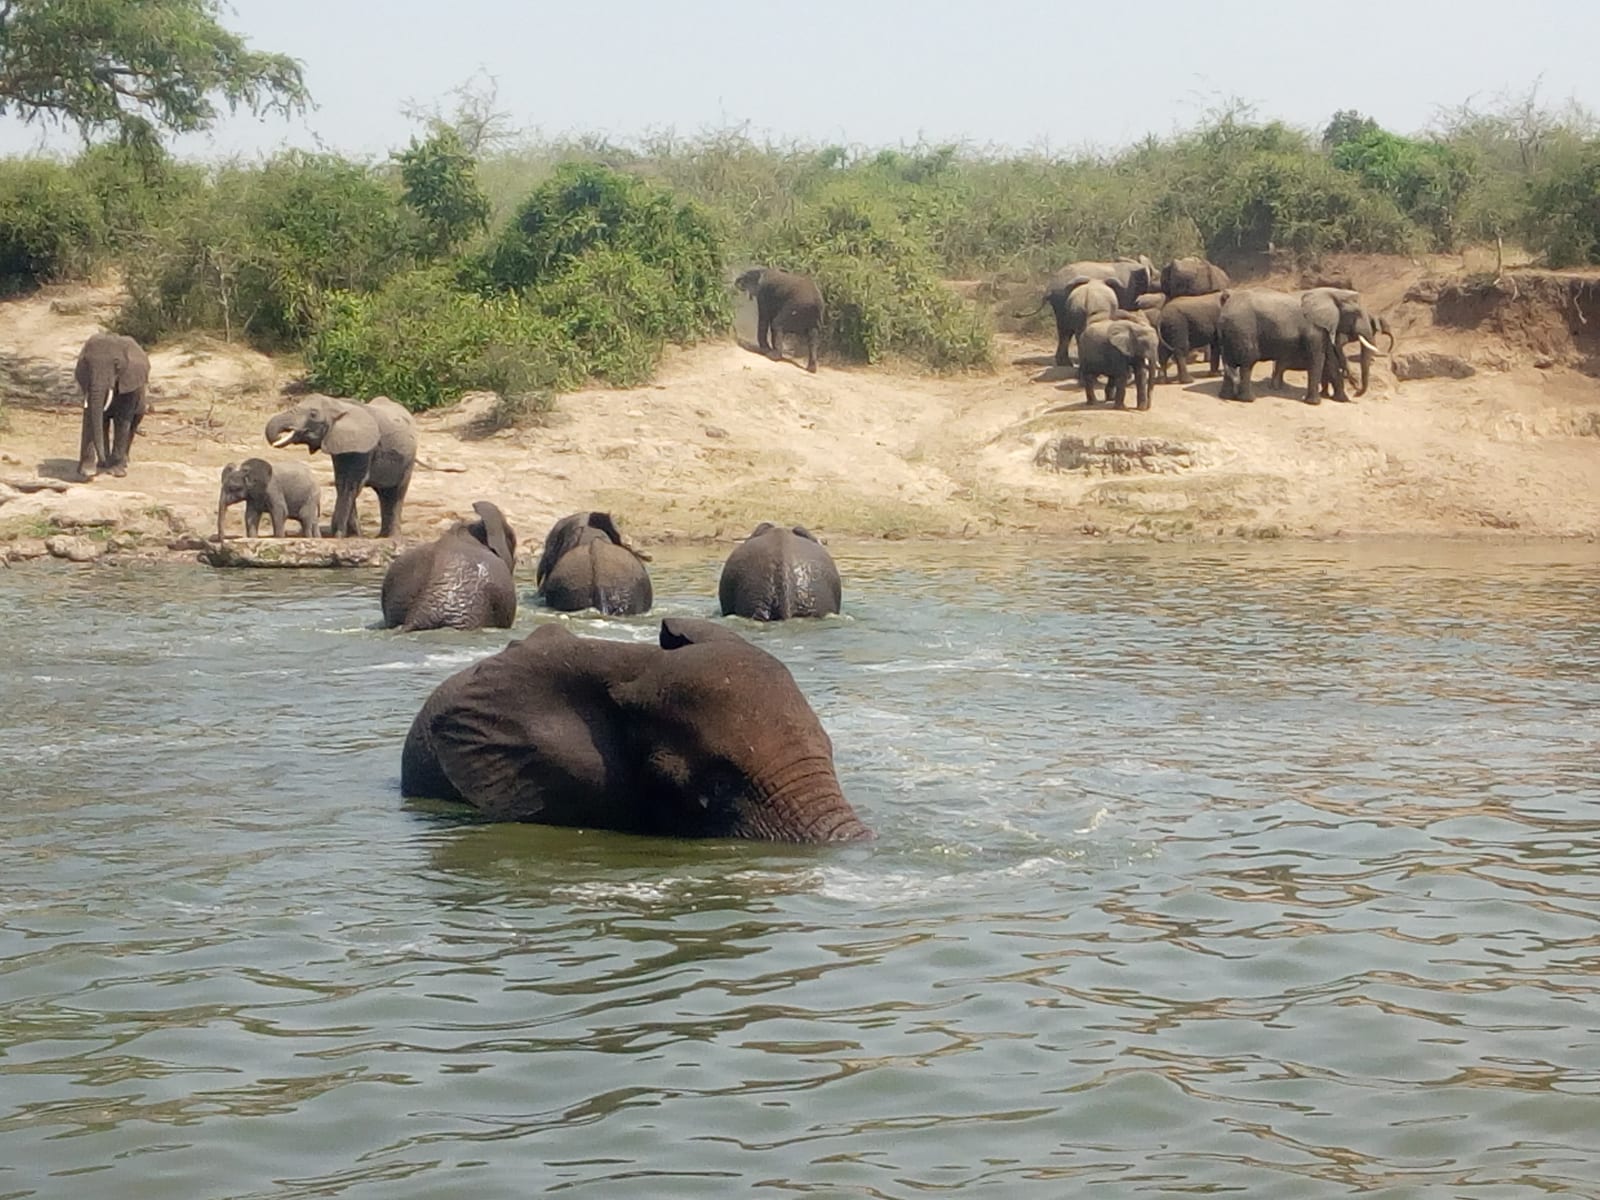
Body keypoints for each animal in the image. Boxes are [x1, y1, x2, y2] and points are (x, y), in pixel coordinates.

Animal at [74, 332, 150, 481]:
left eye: (116, 364)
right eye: (86, 363)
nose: (103, 461)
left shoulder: (129, 383)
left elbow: (122, 420)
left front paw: (117, 473)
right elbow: (90, 415)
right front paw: (87, 471)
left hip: (142, 402)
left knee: (132, 426)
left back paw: (123, 462)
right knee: (104, 423)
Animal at [264, 395, 417, 537]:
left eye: (313, 414)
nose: (279, 437)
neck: (338, 404)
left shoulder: (365, 448)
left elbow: (351, 485)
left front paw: (339, 535)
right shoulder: (338, 445)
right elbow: (341, 483)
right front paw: (352, 536)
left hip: (409, 461)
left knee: (397, 493)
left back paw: (390, 536)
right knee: (384, 494)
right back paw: (381, 536)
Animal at [1217, 288, 1386, 404]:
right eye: (1356, 313)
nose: (1356, 392)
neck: (1332, 293)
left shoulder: (1325, 329)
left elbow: (1330, 360)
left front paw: (1342, 400)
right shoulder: (1314, 329)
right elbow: (1318, 359)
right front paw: (1314, 403)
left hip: (1232, 332)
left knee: (1231, 361)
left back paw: (1226, 396)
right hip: (1244, 328)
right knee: (1248, 362)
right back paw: (1248, 399)